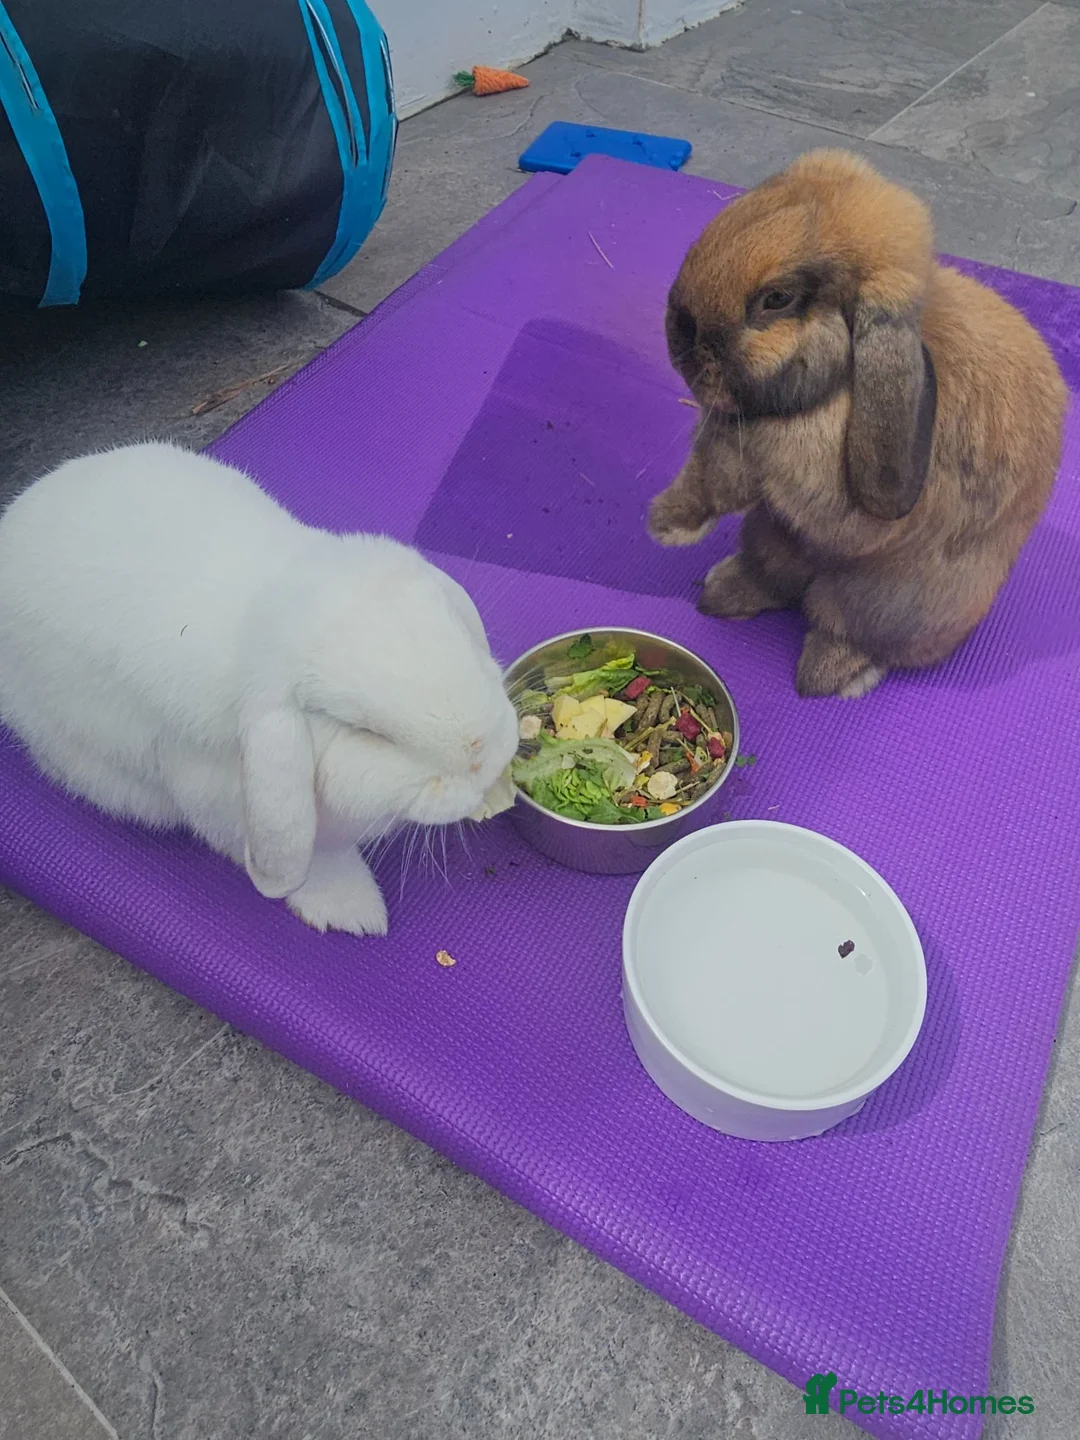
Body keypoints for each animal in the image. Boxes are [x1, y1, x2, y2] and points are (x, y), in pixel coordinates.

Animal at [0, 442, 518, 936]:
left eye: (462, 638)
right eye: (369, 734)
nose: (486, 759)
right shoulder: (216, 791)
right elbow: (303, 857)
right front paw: (351, 909)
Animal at [647, 149, 1068, 698]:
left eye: (777, 298)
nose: (679, 337)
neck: (837, 387)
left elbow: (735, 478)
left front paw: (665, 529)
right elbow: (704, 477)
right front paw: (666, 523)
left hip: (887, 601)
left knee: (844, 626)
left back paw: (828, 675)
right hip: (771, 536)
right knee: (776, 578)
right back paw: (720, 593)